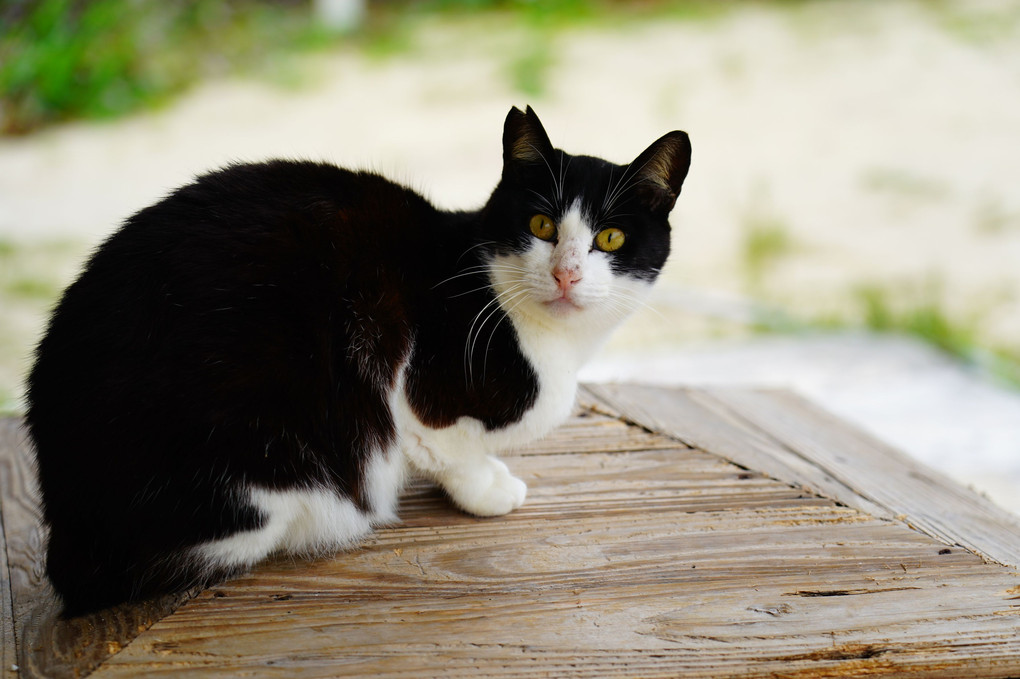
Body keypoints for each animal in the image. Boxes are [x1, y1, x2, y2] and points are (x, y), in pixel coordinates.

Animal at [25, 104, 693, 611]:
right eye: (541, 225)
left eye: (610, 238)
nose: (566, 274)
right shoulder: (415, 385)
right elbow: (448, 447)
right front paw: (486, 489)